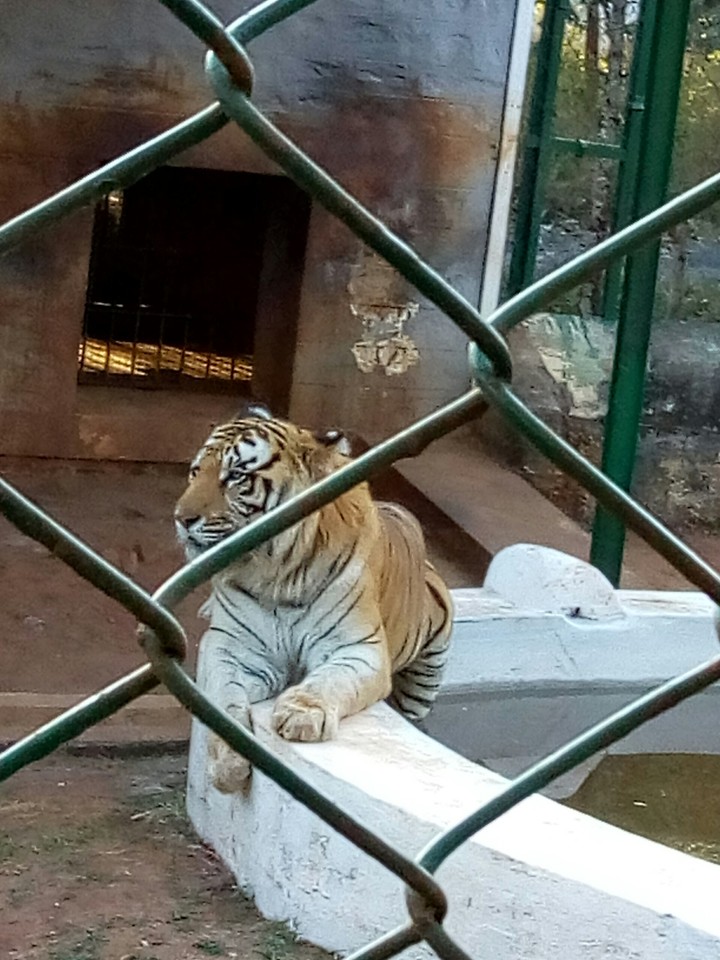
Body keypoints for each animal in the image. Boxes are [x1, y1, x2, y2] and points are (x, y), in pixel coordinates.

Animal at [175, 403, 453, 793]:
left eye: (235, 476)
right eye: (196, 472)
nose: (181, 519)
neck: (277, 574)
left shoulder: (359, 647)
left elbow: (332, 679)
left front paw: (302, 715)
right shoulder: (230, 647)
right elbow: (223, 697)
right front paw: (227, 765)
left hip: (428, 669)